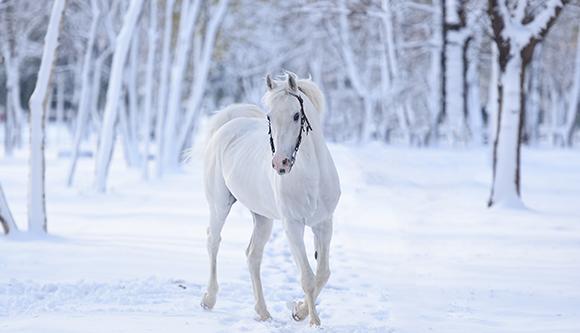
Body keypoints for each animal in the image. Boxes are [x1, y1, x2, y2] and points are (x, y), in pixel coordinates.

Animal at [202, 72, 342, 324]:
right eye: (269, 116)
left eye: (296, 115)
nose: (280, 164)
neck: (312, 175)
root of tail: (228, 125)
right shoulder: (293, 226)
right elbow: (307, 277)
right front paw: (313, 321)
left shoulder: (324, 224)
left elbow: (323, 274)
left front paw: (298, 311)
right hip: (219, 205)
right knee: (213, 241)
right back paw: (209, 299)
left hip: (262, 218)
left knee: (253, 255)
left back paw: (263, 312)